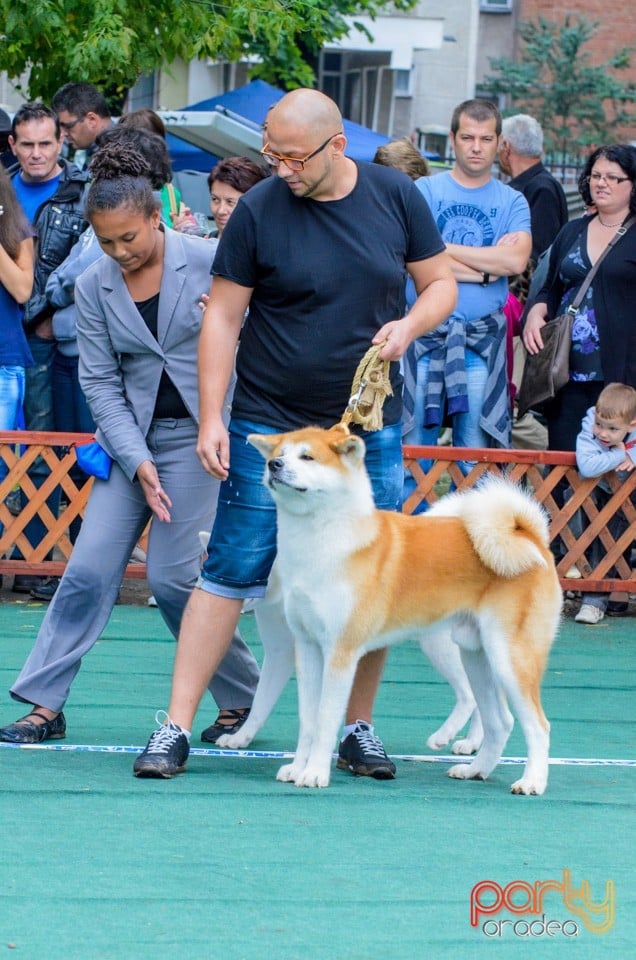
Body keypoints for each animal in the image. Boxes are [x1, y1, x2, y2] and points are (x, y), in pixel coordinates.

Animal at [247, 424, 560, 792]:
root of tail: (530, 538)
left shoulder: (341, 652)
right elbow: (307, 721)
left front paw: (314, 774)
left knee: (538, 726)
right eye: (278, 453)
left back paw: (532, 781)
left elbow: (324, 719)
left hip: (510, 658)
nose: (274, 466)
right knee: (500, 722)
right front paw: (297, 768)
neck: (322, 542)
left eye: (307, 457)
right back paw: (474, 770)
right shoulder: (308, 647)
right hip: (476, 656)